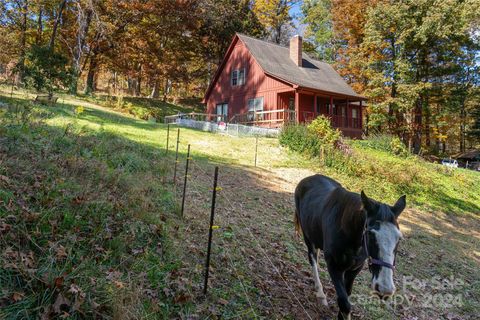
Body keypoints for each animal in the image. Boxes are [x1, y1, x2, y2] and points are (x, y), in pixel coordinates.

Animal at [292, 175, 404, 320]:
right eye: (370, 234)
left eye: (399, 238)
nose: (385, 288)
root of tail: (307, 179)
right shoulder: (334, 267)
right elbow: (344, 303)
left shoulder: (355, 269)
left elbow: (347, 295)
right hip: (308, 238)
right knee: (313, 259)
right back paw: (320, 293)